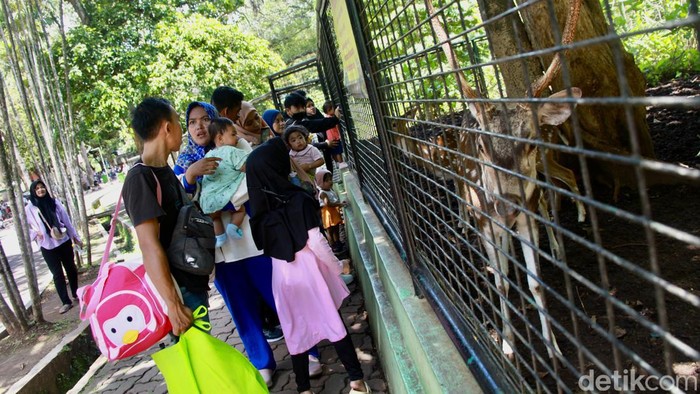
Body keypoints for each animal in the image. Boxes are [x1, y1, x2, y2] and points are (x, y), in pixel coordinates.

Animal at [386, 0, 588, 360]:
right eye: (481, 145)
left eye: (531, 140)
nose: (507, 204)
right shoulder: (485, 218)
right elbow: (502, 283)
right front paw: (507, 344)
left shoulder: (527, 218)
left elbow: (536, 283)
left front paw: (553, 349)